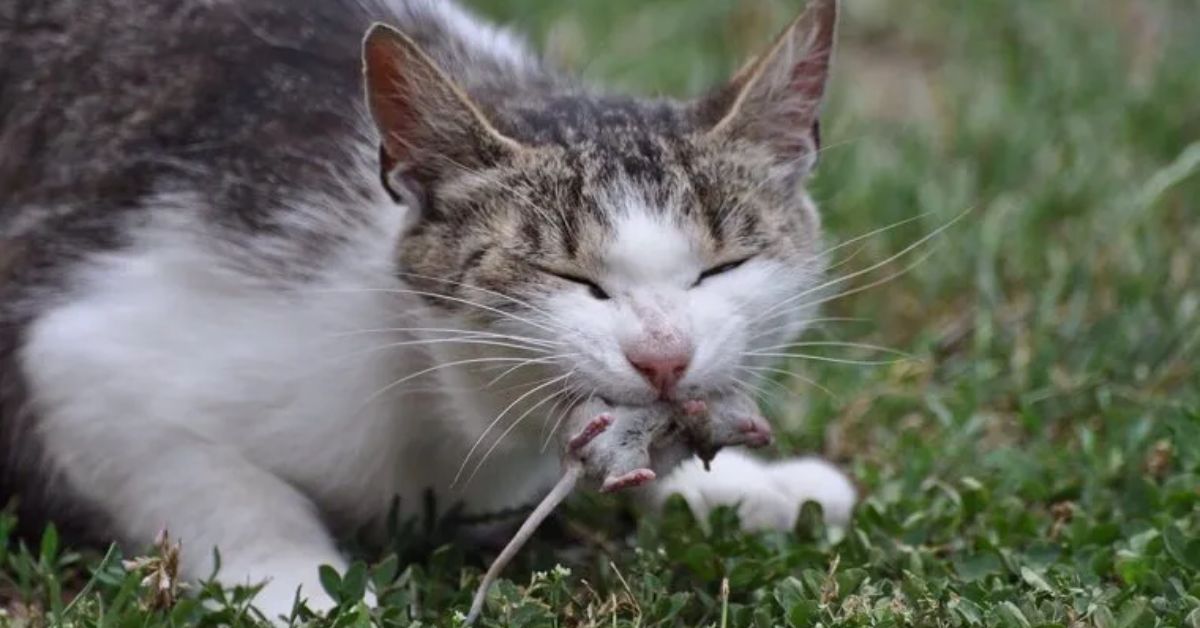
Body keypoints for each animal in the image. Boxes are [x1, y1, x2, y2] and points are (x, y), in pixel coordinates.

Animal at [4, 0, 859, 619]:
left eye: (723, 267)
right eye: (566, 274)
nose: (663, 354)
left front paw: (742, 485)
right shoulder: (78, 360)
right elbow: (225, 488)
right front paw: (299, 586)